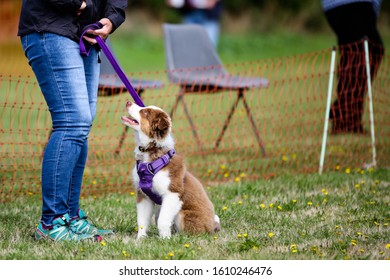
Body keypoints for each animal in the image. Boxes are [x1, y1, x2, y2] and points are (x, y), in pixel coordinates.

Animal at [121, 100, 219, 238]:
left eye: (145, 112)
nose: (128, 102)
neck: (151, 152)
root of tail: (213, 227)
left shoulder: (172, 193)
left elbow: (163, 220)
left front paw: (165, 239)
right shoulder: (143, 195)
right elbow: (142, 220)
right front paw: (140, 239)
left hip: (184, 214)